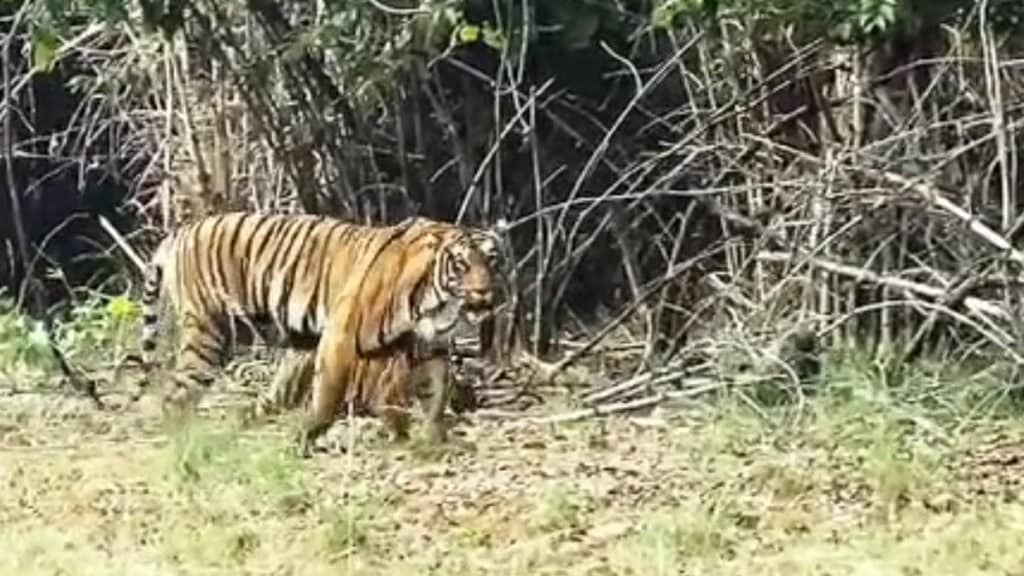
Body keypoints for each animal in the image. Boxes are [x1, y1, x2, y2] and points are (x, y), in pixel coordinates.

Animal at [134, 210, 501, 448]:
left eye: (491, 260)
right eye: (462, 265)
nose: (485, 292)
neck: (437, 304)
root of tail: (180, 231)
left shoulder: (429, 347)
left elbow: (437, 392)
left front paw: (434, 436)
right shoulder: (341, 335)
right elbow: (328, 394)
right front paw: (307, 434)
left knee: (267, 397)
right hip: (211, 331)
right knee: (177, 395)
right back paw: (181, 440)